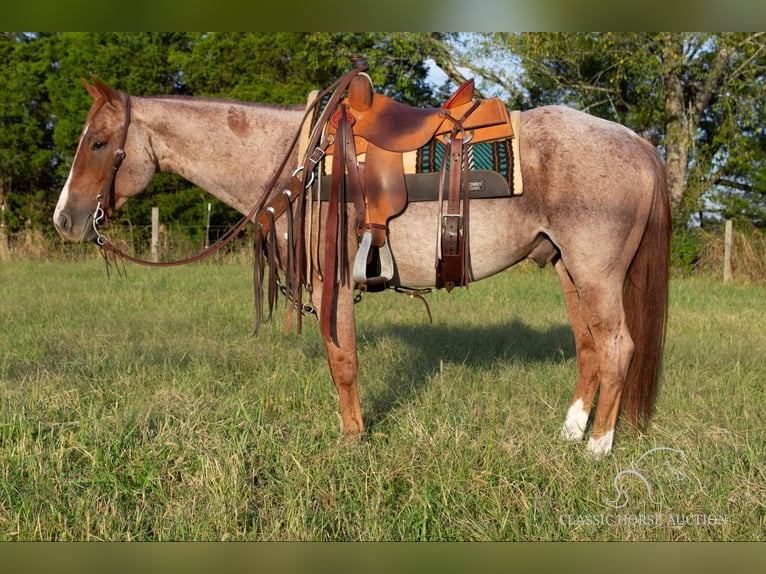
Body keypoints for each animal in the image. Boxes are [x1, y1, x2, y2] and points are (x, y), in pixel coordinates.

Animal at [54, 73, 668, 460]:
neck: (298, 163)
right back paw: (569, 434)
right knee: (589, 349)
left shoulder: (333, 283)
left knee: (618, 348)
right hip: (568, 269)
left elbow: (342, 361)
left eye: (100, 142)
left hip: (595, 273)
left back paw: (597, 449)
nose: (65, 219)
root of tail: (639, 143)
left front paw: (352, 441)